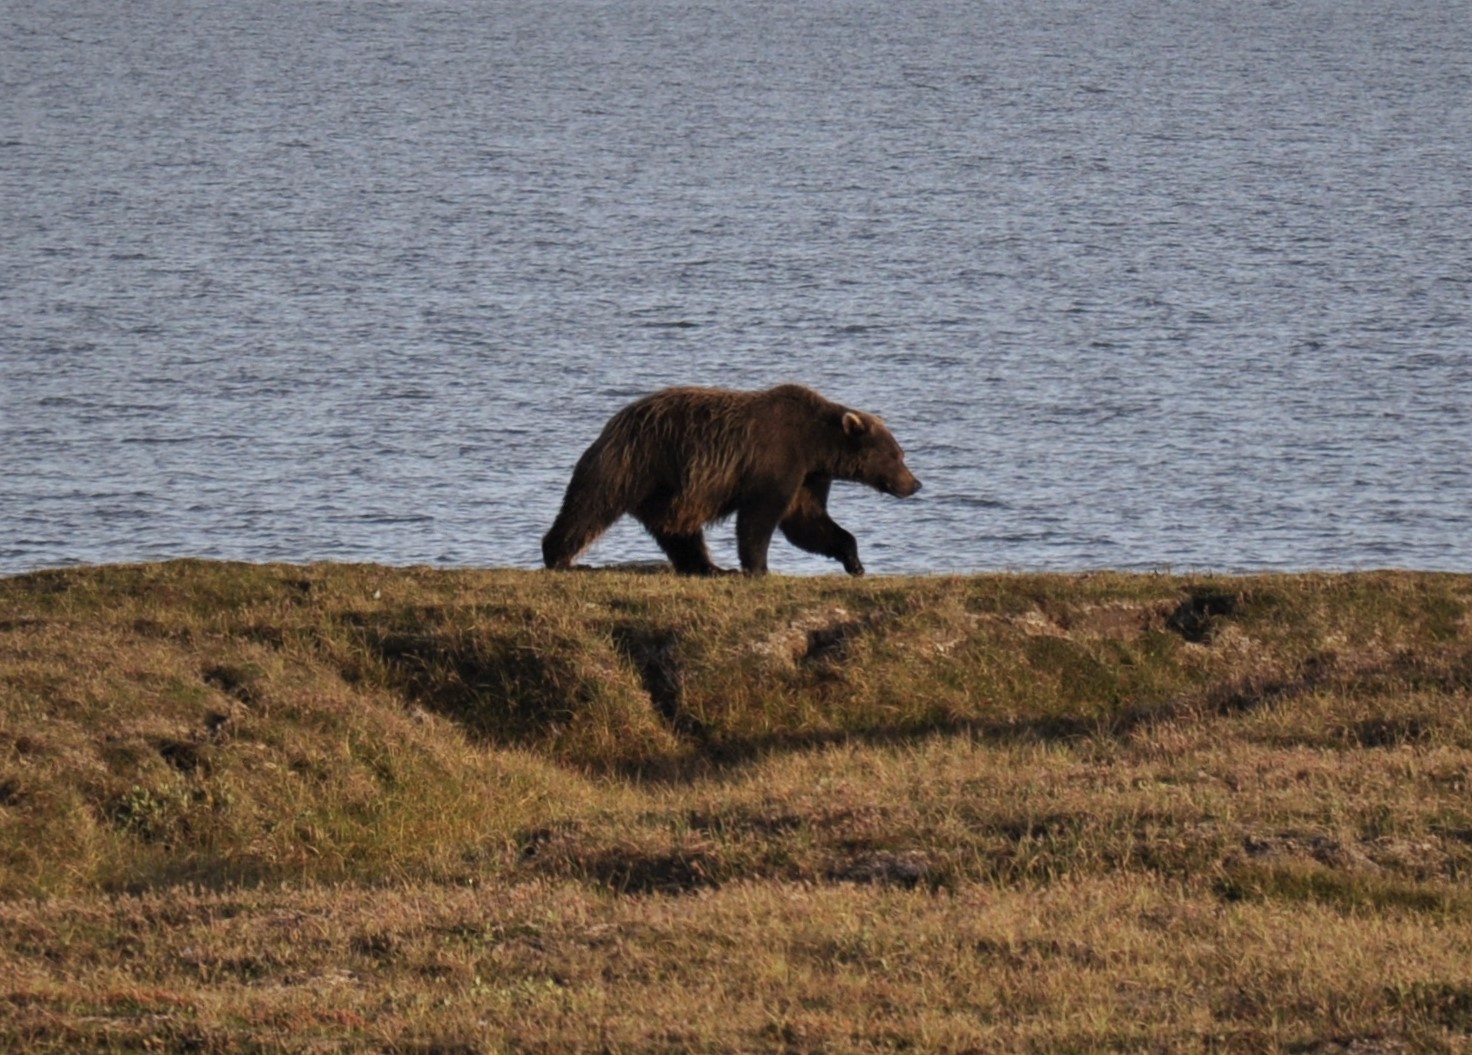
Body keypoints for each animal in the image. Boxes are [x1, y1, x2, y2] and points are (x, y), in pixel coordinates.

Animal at [541, 384, 921, 576]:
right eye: (897, 455)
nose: (914, 484)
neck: (815, 444)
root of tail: (613, 422)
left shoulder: (808, 476)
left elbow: (808, 522)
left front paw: (854, 561)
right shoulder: (775, 459)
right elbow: (759, 518)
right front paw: (759, 568)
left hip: (671, 489)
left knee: (678, 531)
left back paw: (707, 566)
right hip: (637, 463)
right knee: (590, 506)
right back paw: (560, 557)